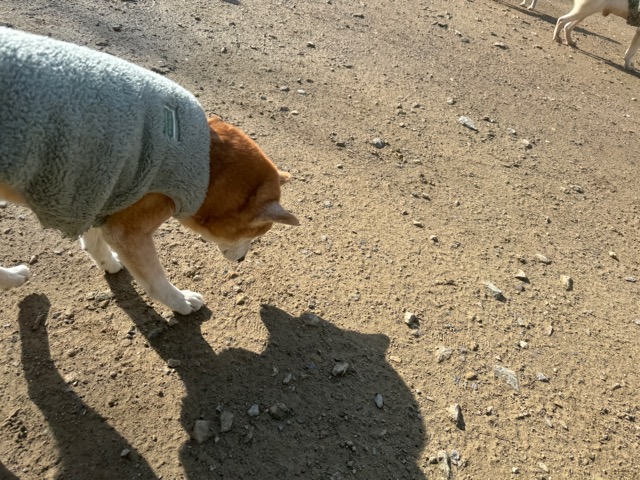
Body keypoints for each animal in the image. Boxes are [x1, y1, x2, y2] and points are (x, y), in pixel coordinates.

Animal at [0, 28, 299, 315]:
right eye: (254, 234)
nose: (243, 259)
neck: (207, 162)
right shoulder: (129, 228)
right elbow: (155, 280)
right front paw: (181, 302)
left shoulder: (97, 196)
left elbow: (94, 242)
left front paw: (109, 263)